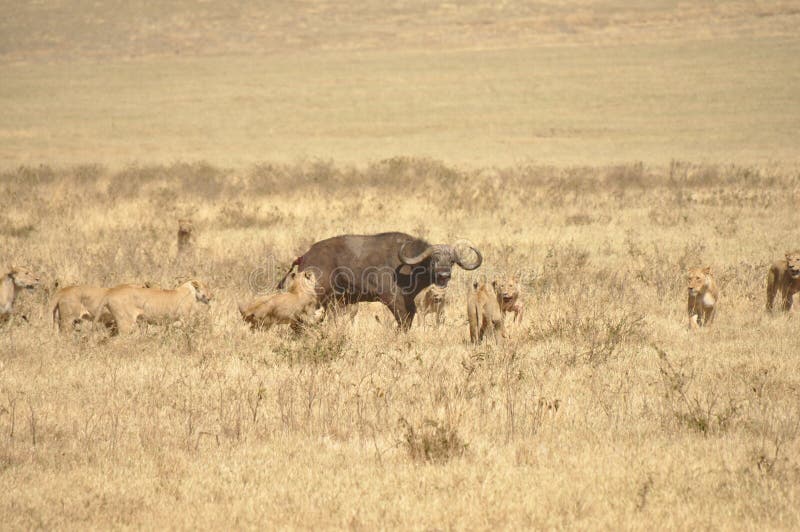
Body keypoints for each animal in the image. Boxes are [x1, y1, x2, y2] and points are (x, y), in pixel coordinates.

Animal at [278, 232, 482, 328]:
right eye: (434, 259)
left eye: (452, 261)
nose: (444, 276)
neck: (409, 267)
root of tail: (305, 256)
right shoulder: (393, 299)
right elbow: (403, 321)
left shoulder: (410, 302)